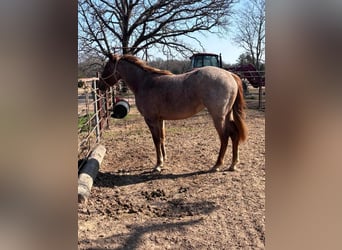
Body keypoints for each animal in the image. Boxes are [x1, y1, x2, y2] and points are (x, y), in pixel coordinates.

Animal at [99, 54, 246, 173]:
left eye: (107, 66)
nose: (100, 85)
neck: (144, 82)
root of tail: (230, 75)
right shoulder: (160, 119)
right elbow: (162, 138)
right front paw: (163, 160)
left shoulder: (151, 119)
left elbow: (156, 140)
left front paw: (158, 165)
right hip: (227, 115)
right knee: (234, 134)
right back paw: (233, 164)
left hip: (218, 117)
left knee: (225, 137)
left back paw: (217, 165)